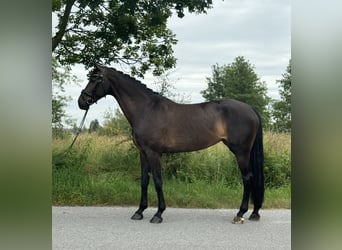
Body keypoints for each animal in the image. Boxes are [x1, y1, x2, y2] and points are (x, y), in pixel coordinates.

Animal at [78, 63, 264, 224]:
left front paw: (158, 214)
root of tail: (250, 109)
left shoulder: (154, 154)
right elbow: (144, 181)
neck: (146, 110)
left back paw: (240, 214)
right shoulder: (143, 153)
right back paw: (254, 213)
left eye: (95, 79)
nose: (81, 102)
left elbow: (158, 181)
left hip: (241, 152)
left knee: (247, 178)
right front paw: (139, 211)